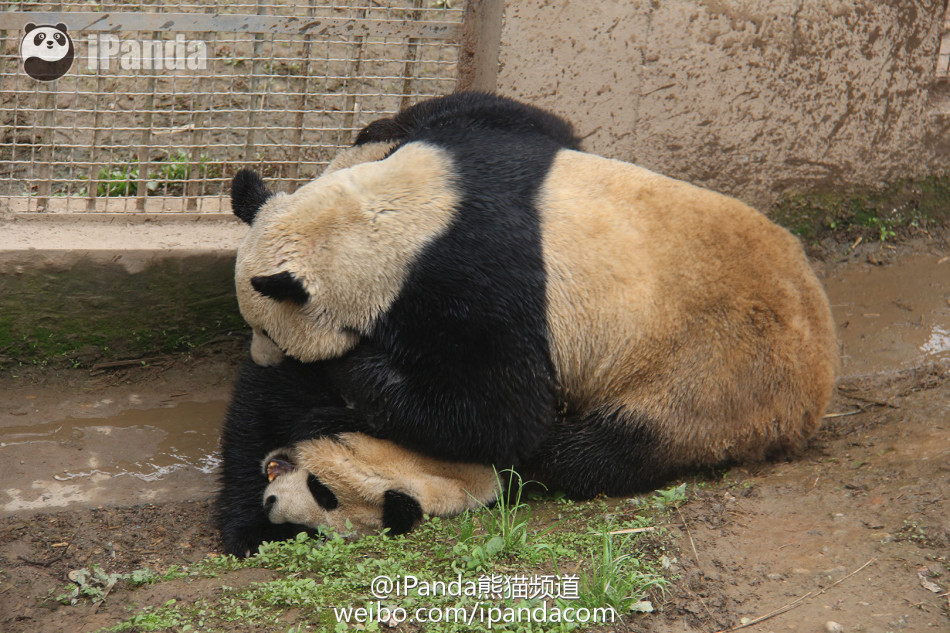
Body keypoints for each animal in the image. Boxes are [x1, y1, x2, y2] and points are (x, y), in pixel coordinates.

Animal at [232, 90, 840, 504]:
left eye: (266, 330)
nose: (261, 357)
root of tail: (817, 382)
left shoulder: (475, 285)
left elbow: (500, 409)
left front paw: (350, 369)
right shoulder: (478, 150)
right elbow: (528, 120)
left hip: (708, 374)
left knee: (608, 448)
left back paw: (558, 452)